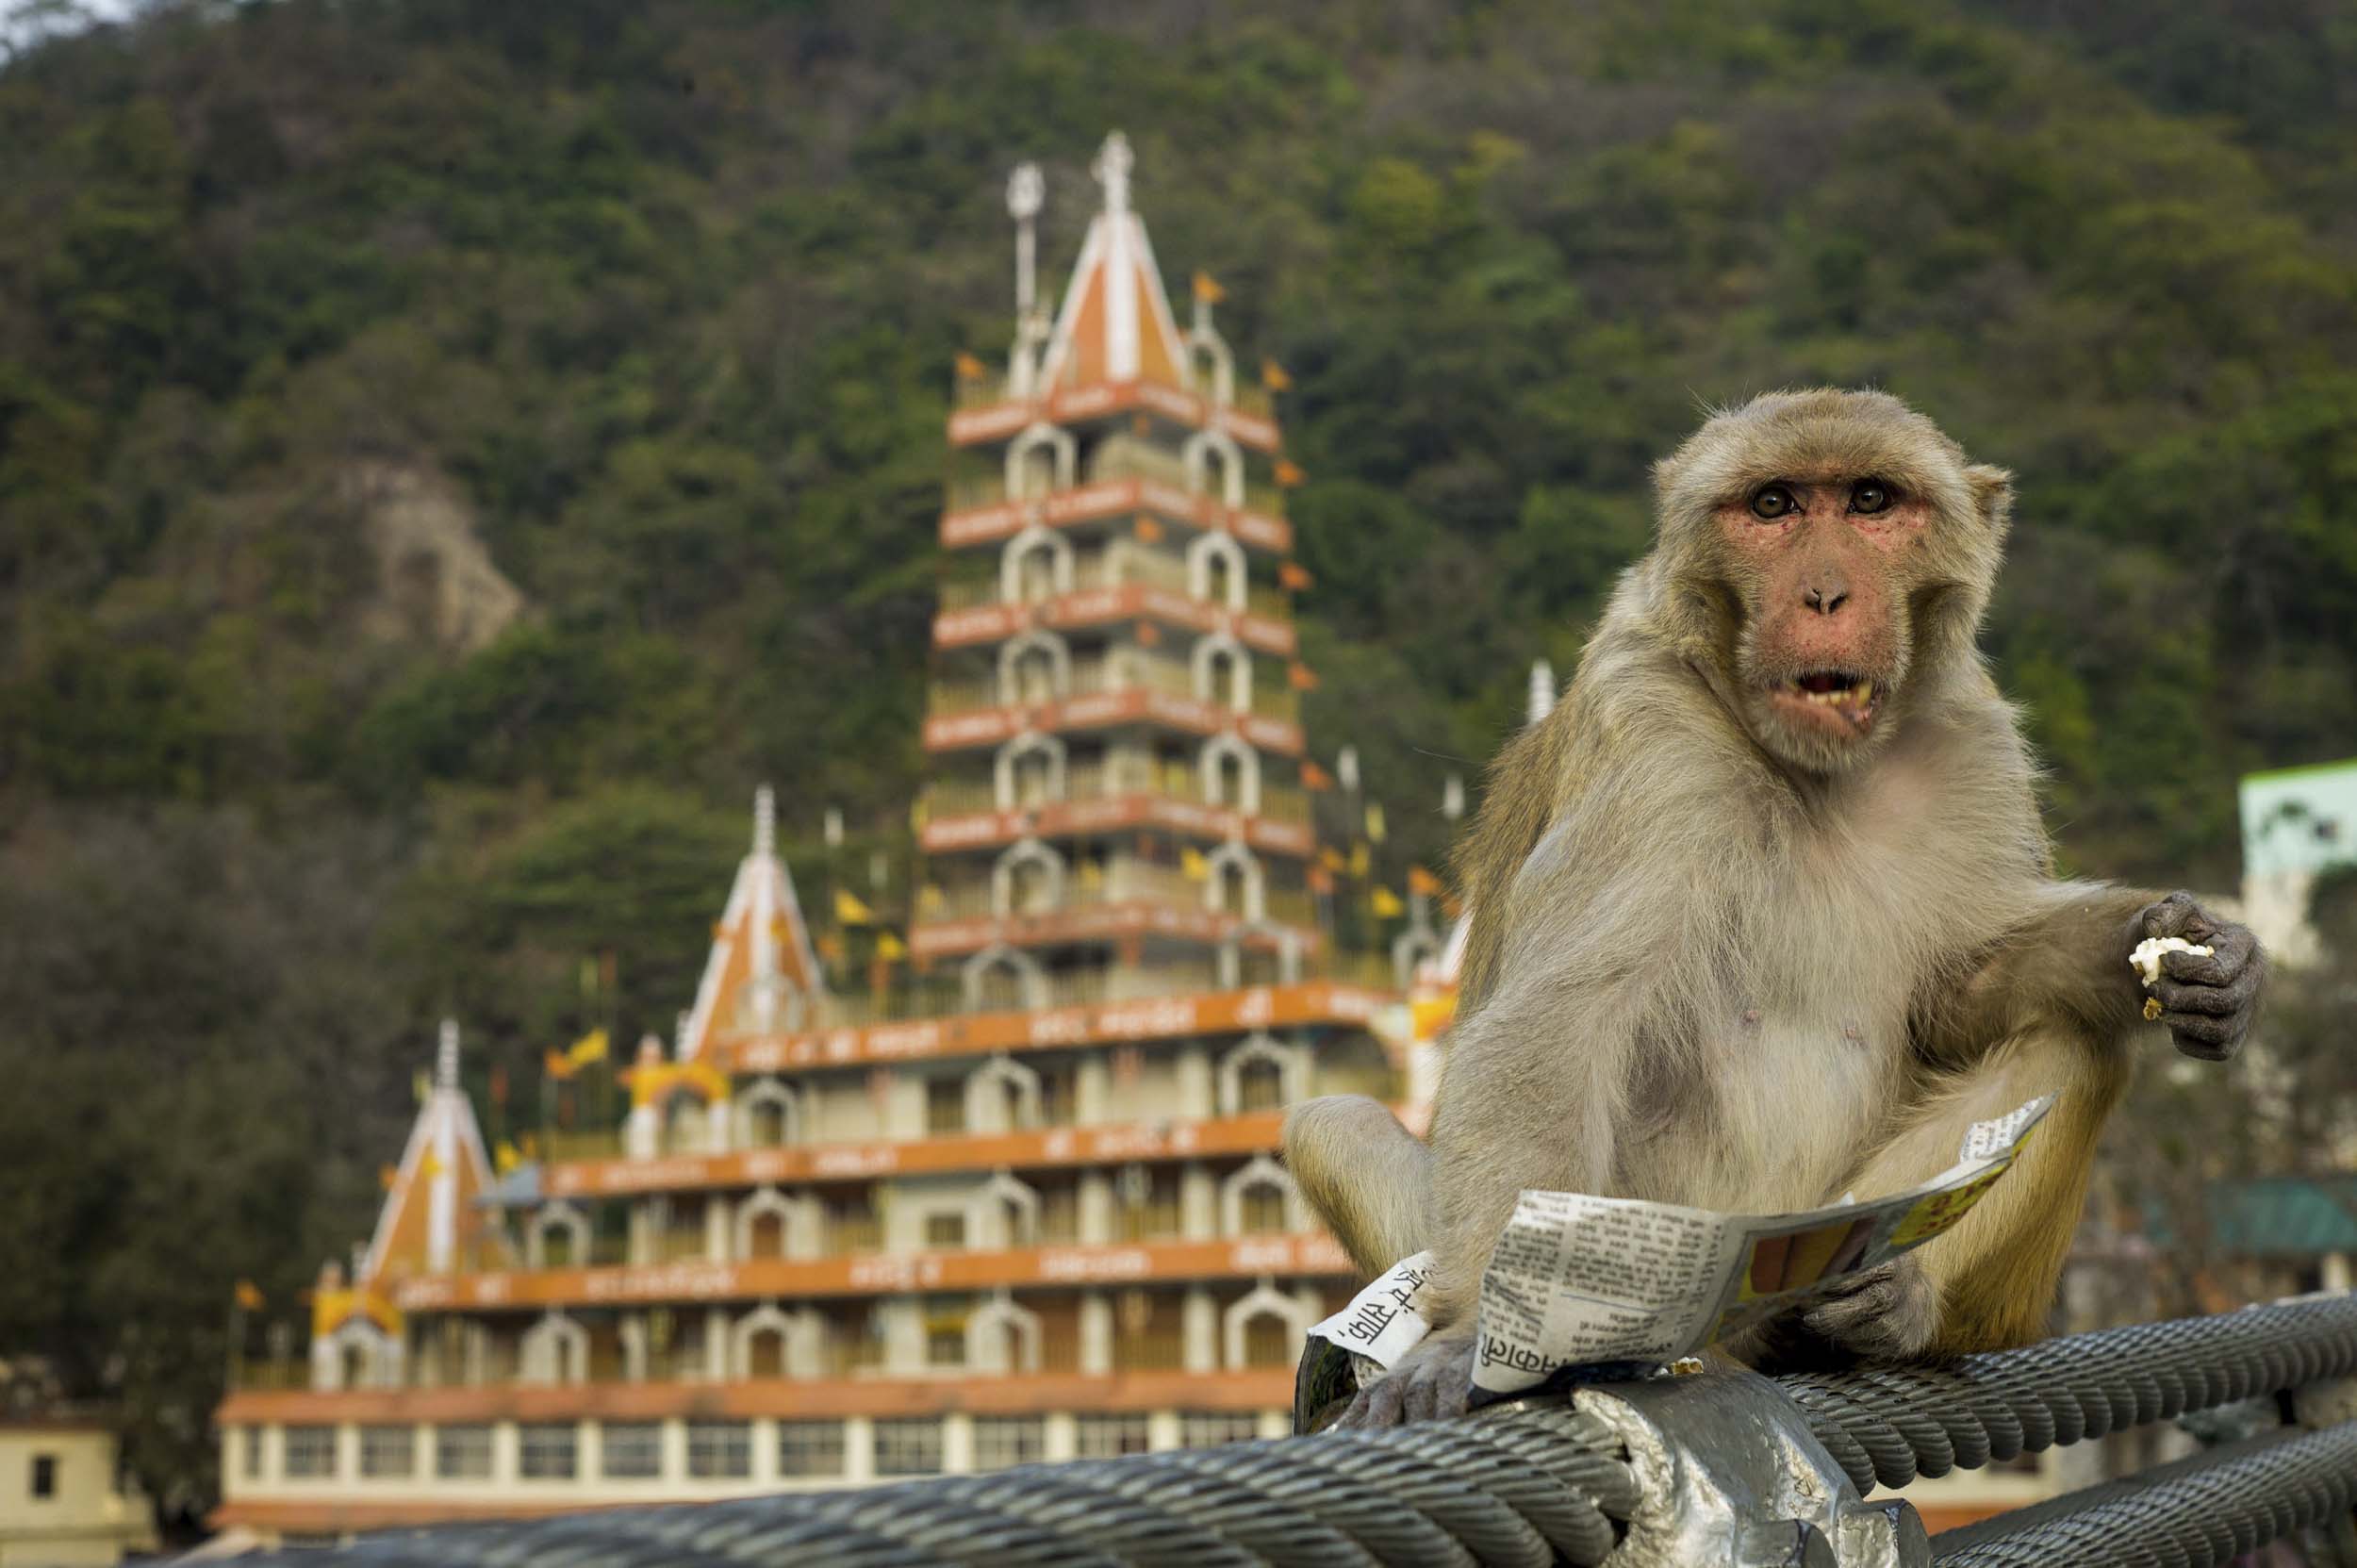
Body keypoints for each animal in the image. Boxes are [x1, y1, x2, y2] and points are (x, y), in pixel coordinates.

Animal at [1284, 388, 2266, 1429]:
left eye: (1872, 501)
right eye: (1773, 506)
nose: (1825, 595)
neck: (1812, 767)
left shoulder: (1972, 734)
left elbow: (1959, 992)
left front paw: (2192, 955)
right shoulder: (1650, 738)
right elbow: (1553, 1024)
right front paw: (1470, 1333)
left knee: (2076, 1039)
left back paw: (1884, 1309)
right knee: (1334, 1122)